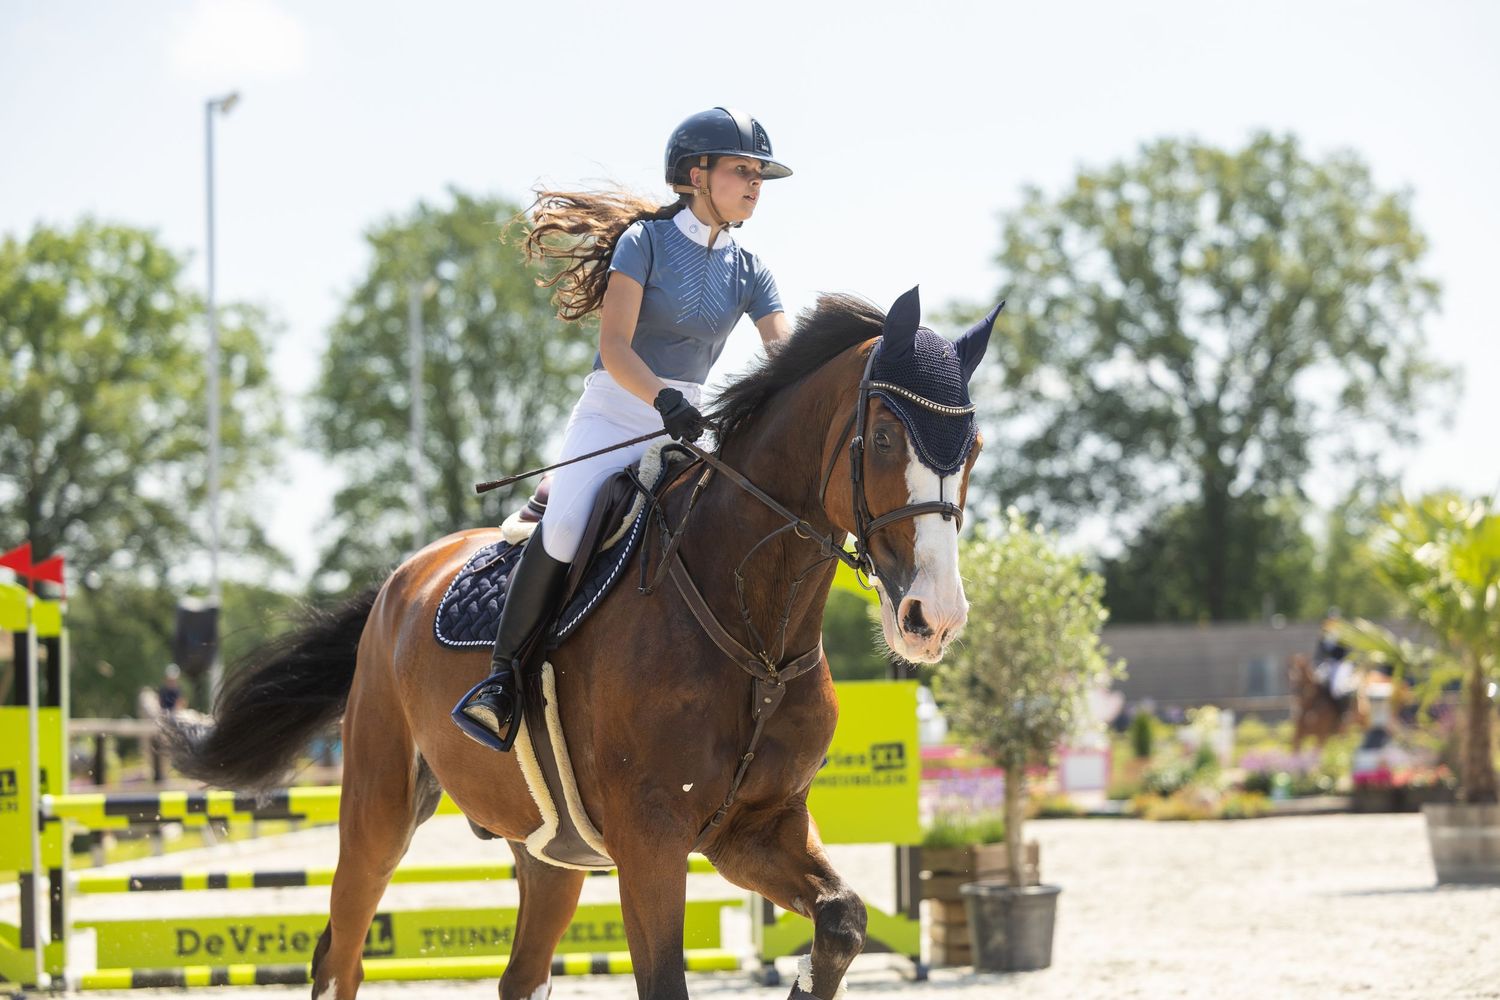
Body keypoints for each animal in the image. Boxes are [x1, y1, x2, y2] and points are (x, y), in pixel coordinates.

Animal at [168, 287, 998, 1000]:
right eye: (884, 436)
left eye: (975, 448)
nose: (934, 617)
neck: (753, 634)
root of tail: (402, 578)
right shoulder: (651, 842)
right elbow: (664, 982)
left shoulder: (754, 829)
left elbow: (843, 919)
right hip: (378, 810)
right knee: (341, 956)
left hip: (549, 850)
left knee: (519, 973)